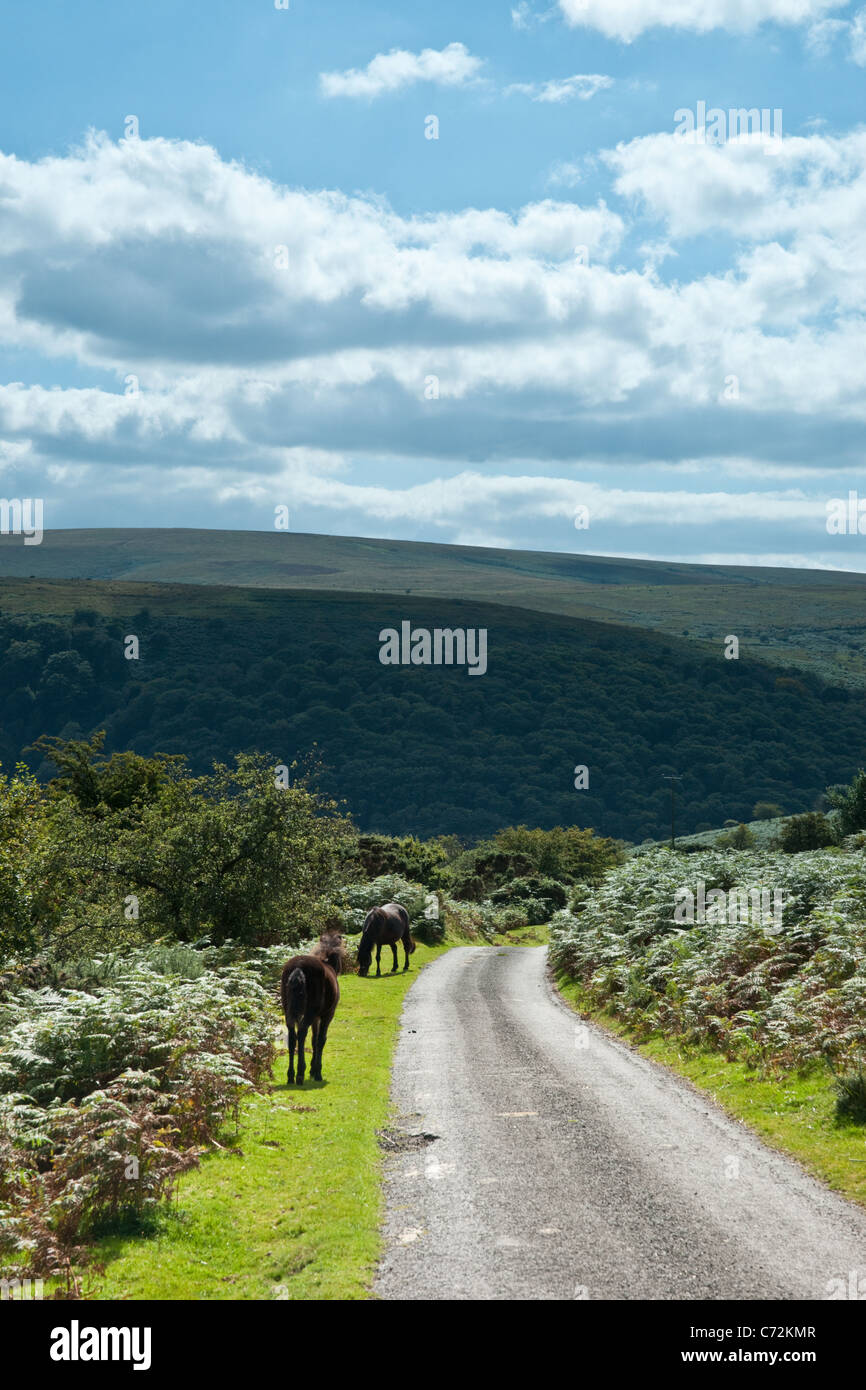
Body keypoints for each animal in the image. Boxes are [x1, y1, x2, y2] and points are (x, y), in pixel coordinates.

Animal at [280, 931, 348, 1086]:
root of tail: (298, 967)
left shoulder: (316, 1018)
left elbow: (313, 1039)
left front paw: (312, 1069)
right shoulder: (327, 1015)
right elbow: (320, 1040)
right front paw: (317, 1071)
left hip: (289, 1011)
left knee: (292, 1037)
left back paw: (291, 1075)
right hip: (311, 1012)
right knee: (302, 1032)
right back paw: (300, 1073)